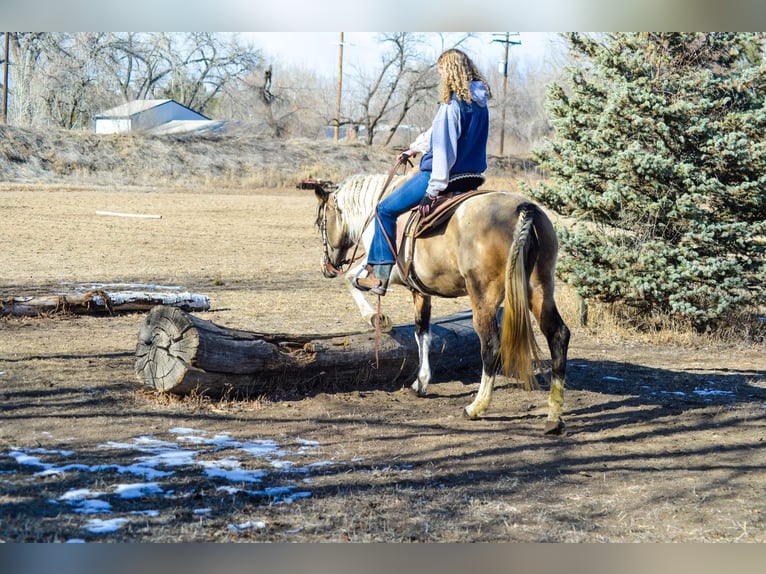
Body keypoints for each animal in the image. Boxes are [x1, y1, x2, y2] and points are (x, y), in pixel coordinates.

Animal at [309, 173, 571, 435]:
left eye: (320, 222)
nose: (326, 267)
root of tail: (523, 210)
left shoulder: (384, 270)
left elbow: (351, 279)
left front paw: (376, 318)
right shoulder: (420, 291)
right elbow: (422, 333)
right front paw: (421, 382)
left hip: (484, 296)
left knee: (491, 345)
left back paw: (476, 407)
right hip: (539, 288)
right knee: (558, 335)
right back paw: (553, 415)